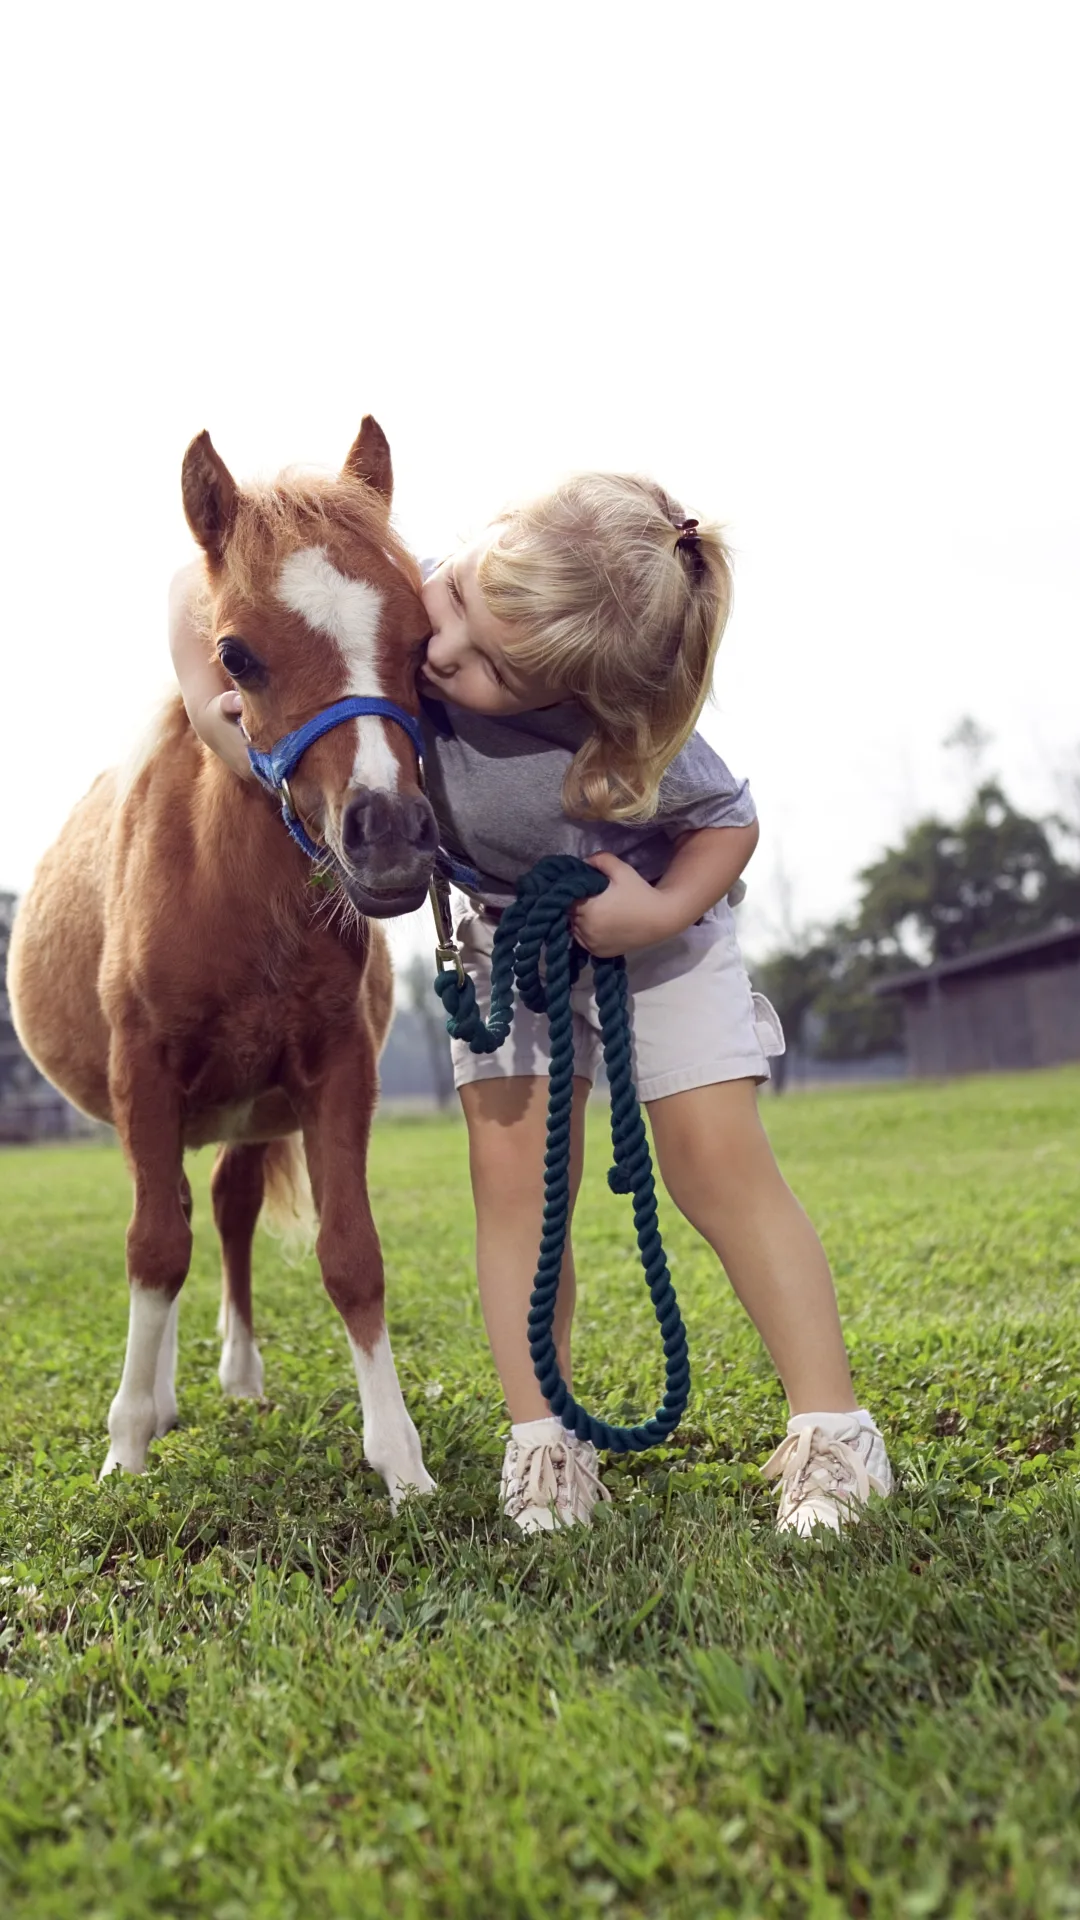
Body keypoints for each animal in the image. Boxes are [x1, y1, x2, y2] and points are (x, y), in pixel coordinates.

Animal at [8, 424, 438, 1512]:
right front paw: (125, 1446)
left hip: (251, 1111)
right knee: (167, 1224)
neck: (231, 896)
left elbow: (351, 1254)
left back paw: (236, 1377)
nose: (389, 837)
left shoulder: (336, 1072)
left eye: (422, 639)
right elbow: (153, 1249)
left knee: (229, 1211)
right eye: (235, 652)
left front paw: (401, 1461)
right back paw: (155, 1399)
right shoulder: (145, 1073)